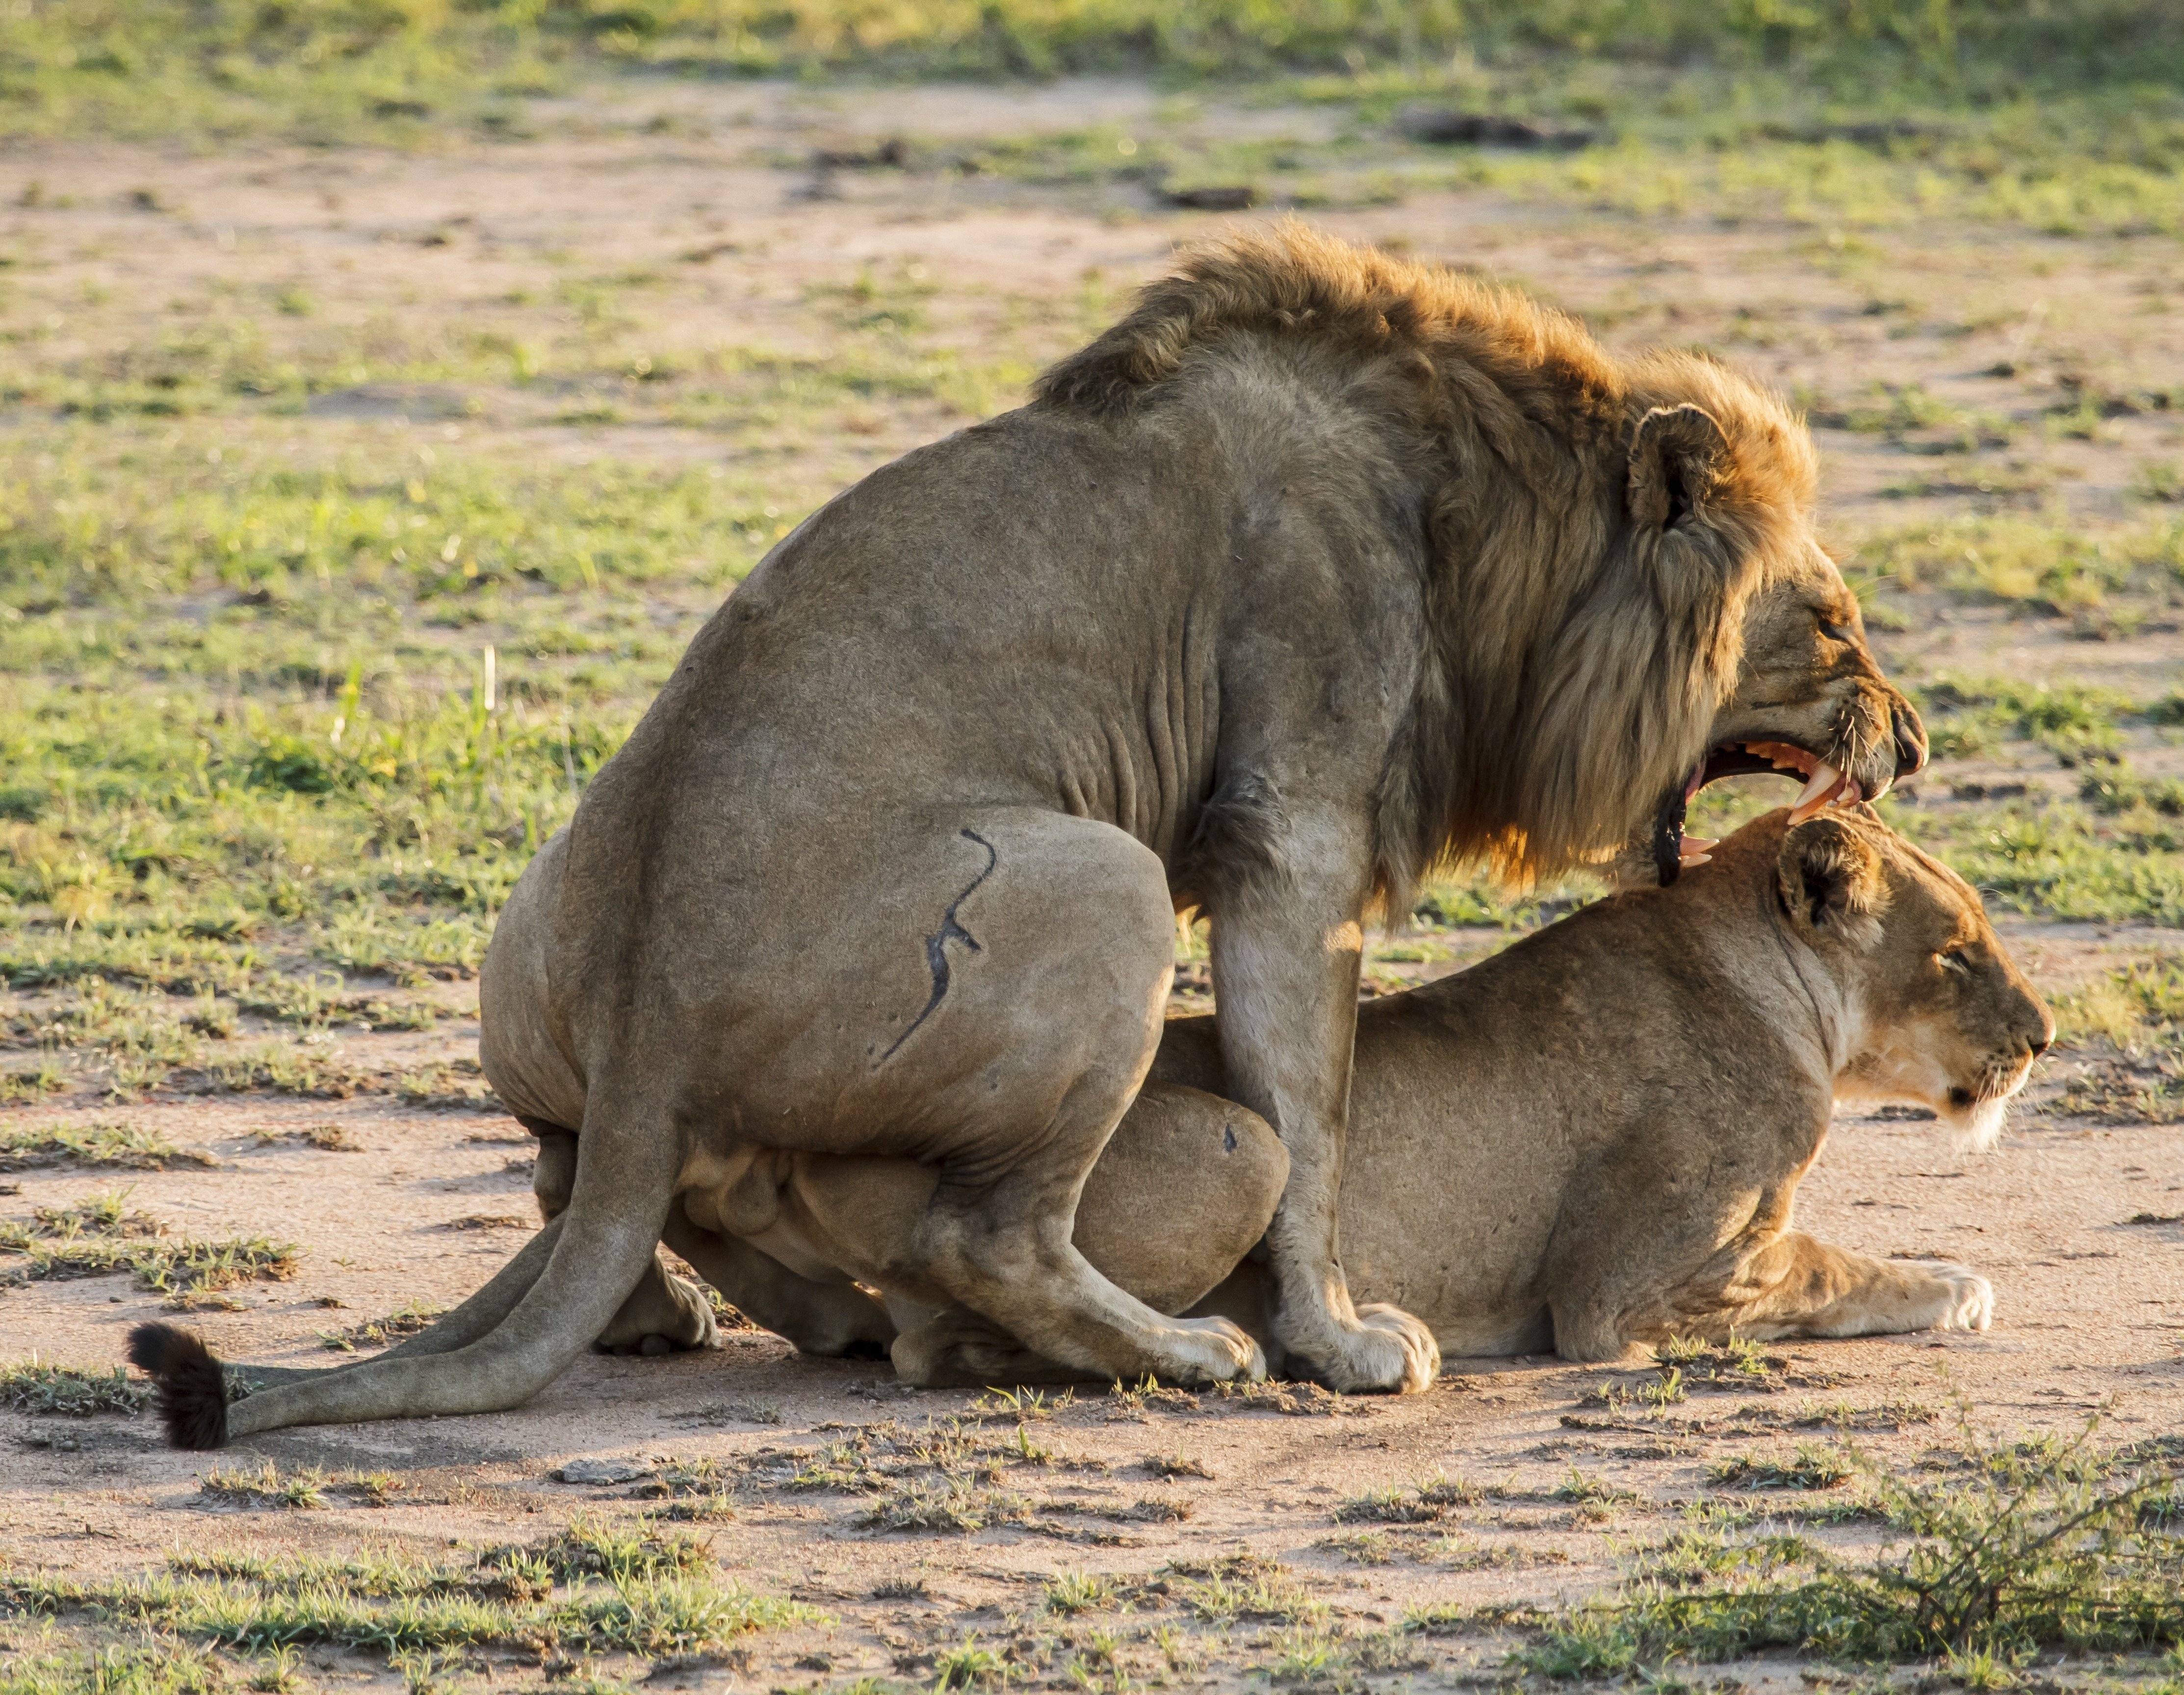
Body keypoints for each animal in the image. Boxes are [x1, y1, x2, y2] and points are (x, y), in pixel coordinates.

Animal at [132, 225, 1930, 1441]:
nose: (1912, 744)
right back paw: (1182, 1353)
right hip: (1100, 883)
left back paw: (761, 1318)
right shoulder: (1291, 829)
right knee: (981, 1229)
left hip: (551, 935)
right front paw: (1341, 1340)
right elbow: (1311, 1116)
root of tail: (647, 1018)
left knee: (578, 1173)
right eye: (1835, 625)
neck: (1493, 525)